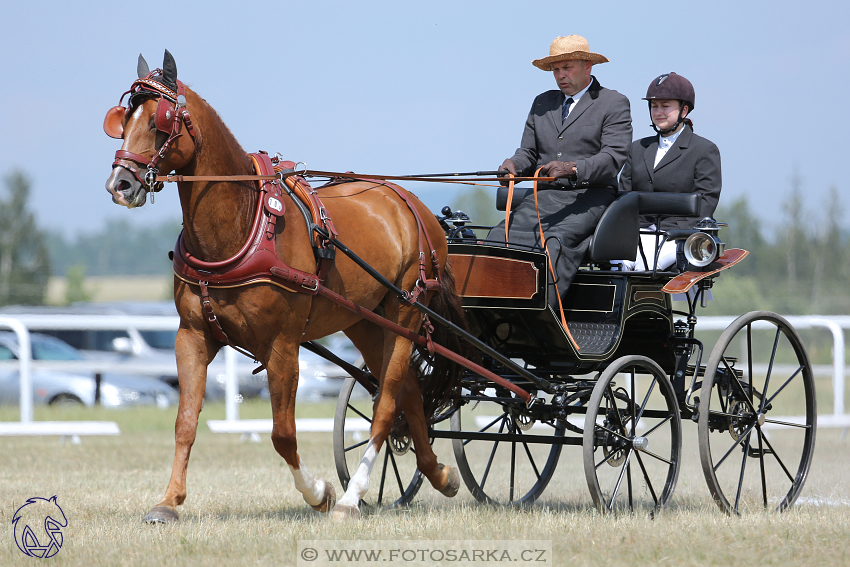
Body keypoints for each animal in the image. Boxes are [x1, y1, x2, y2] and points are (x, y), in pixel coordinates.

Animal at [106, 51, 468, 520]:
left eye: (159, 121)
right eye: (122, 119)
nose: (120, 184)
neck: (244, 224)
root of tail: (416, 207)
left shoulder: (281, 345)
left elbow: (282, 433)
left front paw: (320, 492)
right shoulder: (192, 335)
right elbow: (185, 422)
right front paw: (168, 502)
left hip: (405, 313)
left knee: (387, 402)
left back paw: (351, 497)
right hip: (366, 322)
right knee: (409, 391)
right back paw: (439, 473)